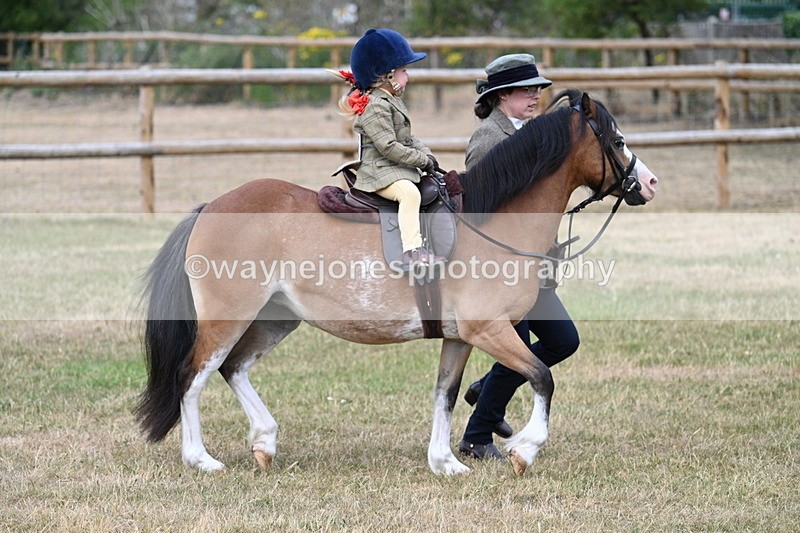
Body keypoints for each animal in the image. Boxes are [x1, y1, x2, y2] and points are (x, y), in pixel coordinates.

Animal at [136, 89, 658, 476]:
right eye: (616, 140)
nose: (649, 183)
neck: (489, 221)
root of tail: (212, 206)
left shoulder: (460, 337)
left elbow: (446, 394)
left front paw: (445, 463)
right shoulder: (489, 330)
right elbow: (542, 377)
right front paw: (524, 451)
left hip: (276, 318)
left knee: (233, 368)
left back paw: (264, 442)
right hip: (229, 318)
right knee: (192, 376)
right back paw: (201, 459)